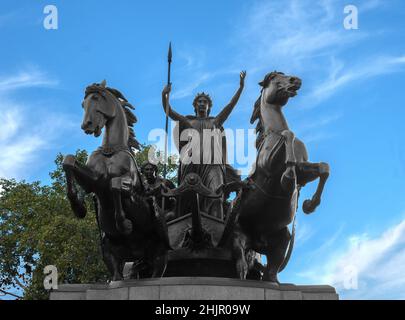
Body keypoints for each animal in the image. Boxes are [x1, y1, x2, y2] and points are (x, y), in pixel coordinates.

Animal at [62, 80, 170, 280]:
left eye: (96, 98)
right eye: (83, 104)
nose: (86, 125)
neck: (110, 150)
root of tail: (137, 254)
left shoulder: (130, 186)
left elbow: (116, 185)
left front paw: (124, 224)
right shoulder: (94, 180)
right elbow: (69, 161)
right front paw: (78, 206)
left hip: (160, 253)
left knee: (156, 270)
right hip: (109, 253)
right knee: (117, 275)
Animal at [226, 72, 330, 282]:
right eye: (275, 78)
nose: (296, 80)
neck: (274, 132)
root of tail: (257, 242)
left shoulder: (304, 171)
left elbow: (324, 168)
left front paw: (309, 205)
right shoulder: (270, 165)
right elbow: (289, 134)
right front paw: (288, 178)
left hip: (282, 240)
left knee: (271, 272)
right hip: (238, 234)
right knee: (239, 255)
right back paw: (241, 270)